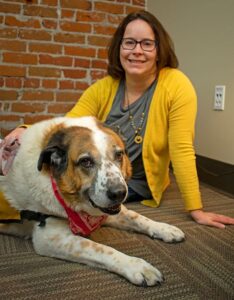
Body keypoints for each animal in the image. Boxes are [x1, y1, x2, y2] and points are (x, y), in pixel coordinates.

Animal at [0, 116, 186, 286]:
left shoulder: (108, 211)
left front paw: (164, 228)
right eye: (86, 161)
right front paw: (136, 266)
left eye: (119, 155)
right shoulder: (49, 237)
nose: (119, 193)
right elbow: (101, 248)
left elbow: (137, 217)